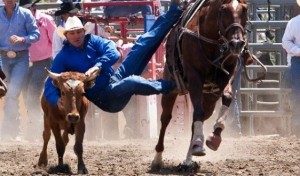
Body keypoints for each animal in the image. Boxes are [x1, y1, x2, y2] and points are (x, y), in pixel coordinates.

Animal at [151, 0, 252, 168]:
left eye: (244, 10)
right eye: (223, 10)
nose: (237, 43)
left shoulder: (227, 75)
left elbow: (227, 96)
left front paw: (215, 136)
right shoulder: (194, 77)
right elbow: (197, 112)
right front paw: (200, 143)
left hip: (209, 98)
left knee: (199, 120)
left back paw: (188, 159)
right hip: (170, 88)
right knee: (165, 119)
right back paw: (158, 158)